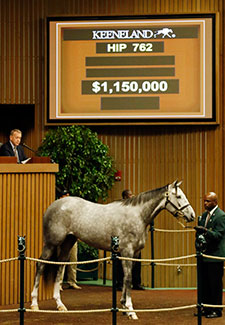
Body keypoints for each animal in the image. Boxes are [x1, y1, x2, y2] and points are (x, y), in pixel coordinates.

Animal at [30, 180, 194, 318]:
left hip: (68, 243)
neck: (138, 215)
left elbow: (127, 278)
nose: (192, 215)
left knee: (60, 267)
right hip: (51, 243)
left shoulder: (133, 254)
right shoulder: (127, 252)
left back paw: (60, 305)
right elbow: (128, 278)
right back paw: (34, 304)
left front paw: (124, 307)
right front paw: (131, 310)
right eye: (179, 196)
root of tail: (54, 205)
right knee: (41, 265)